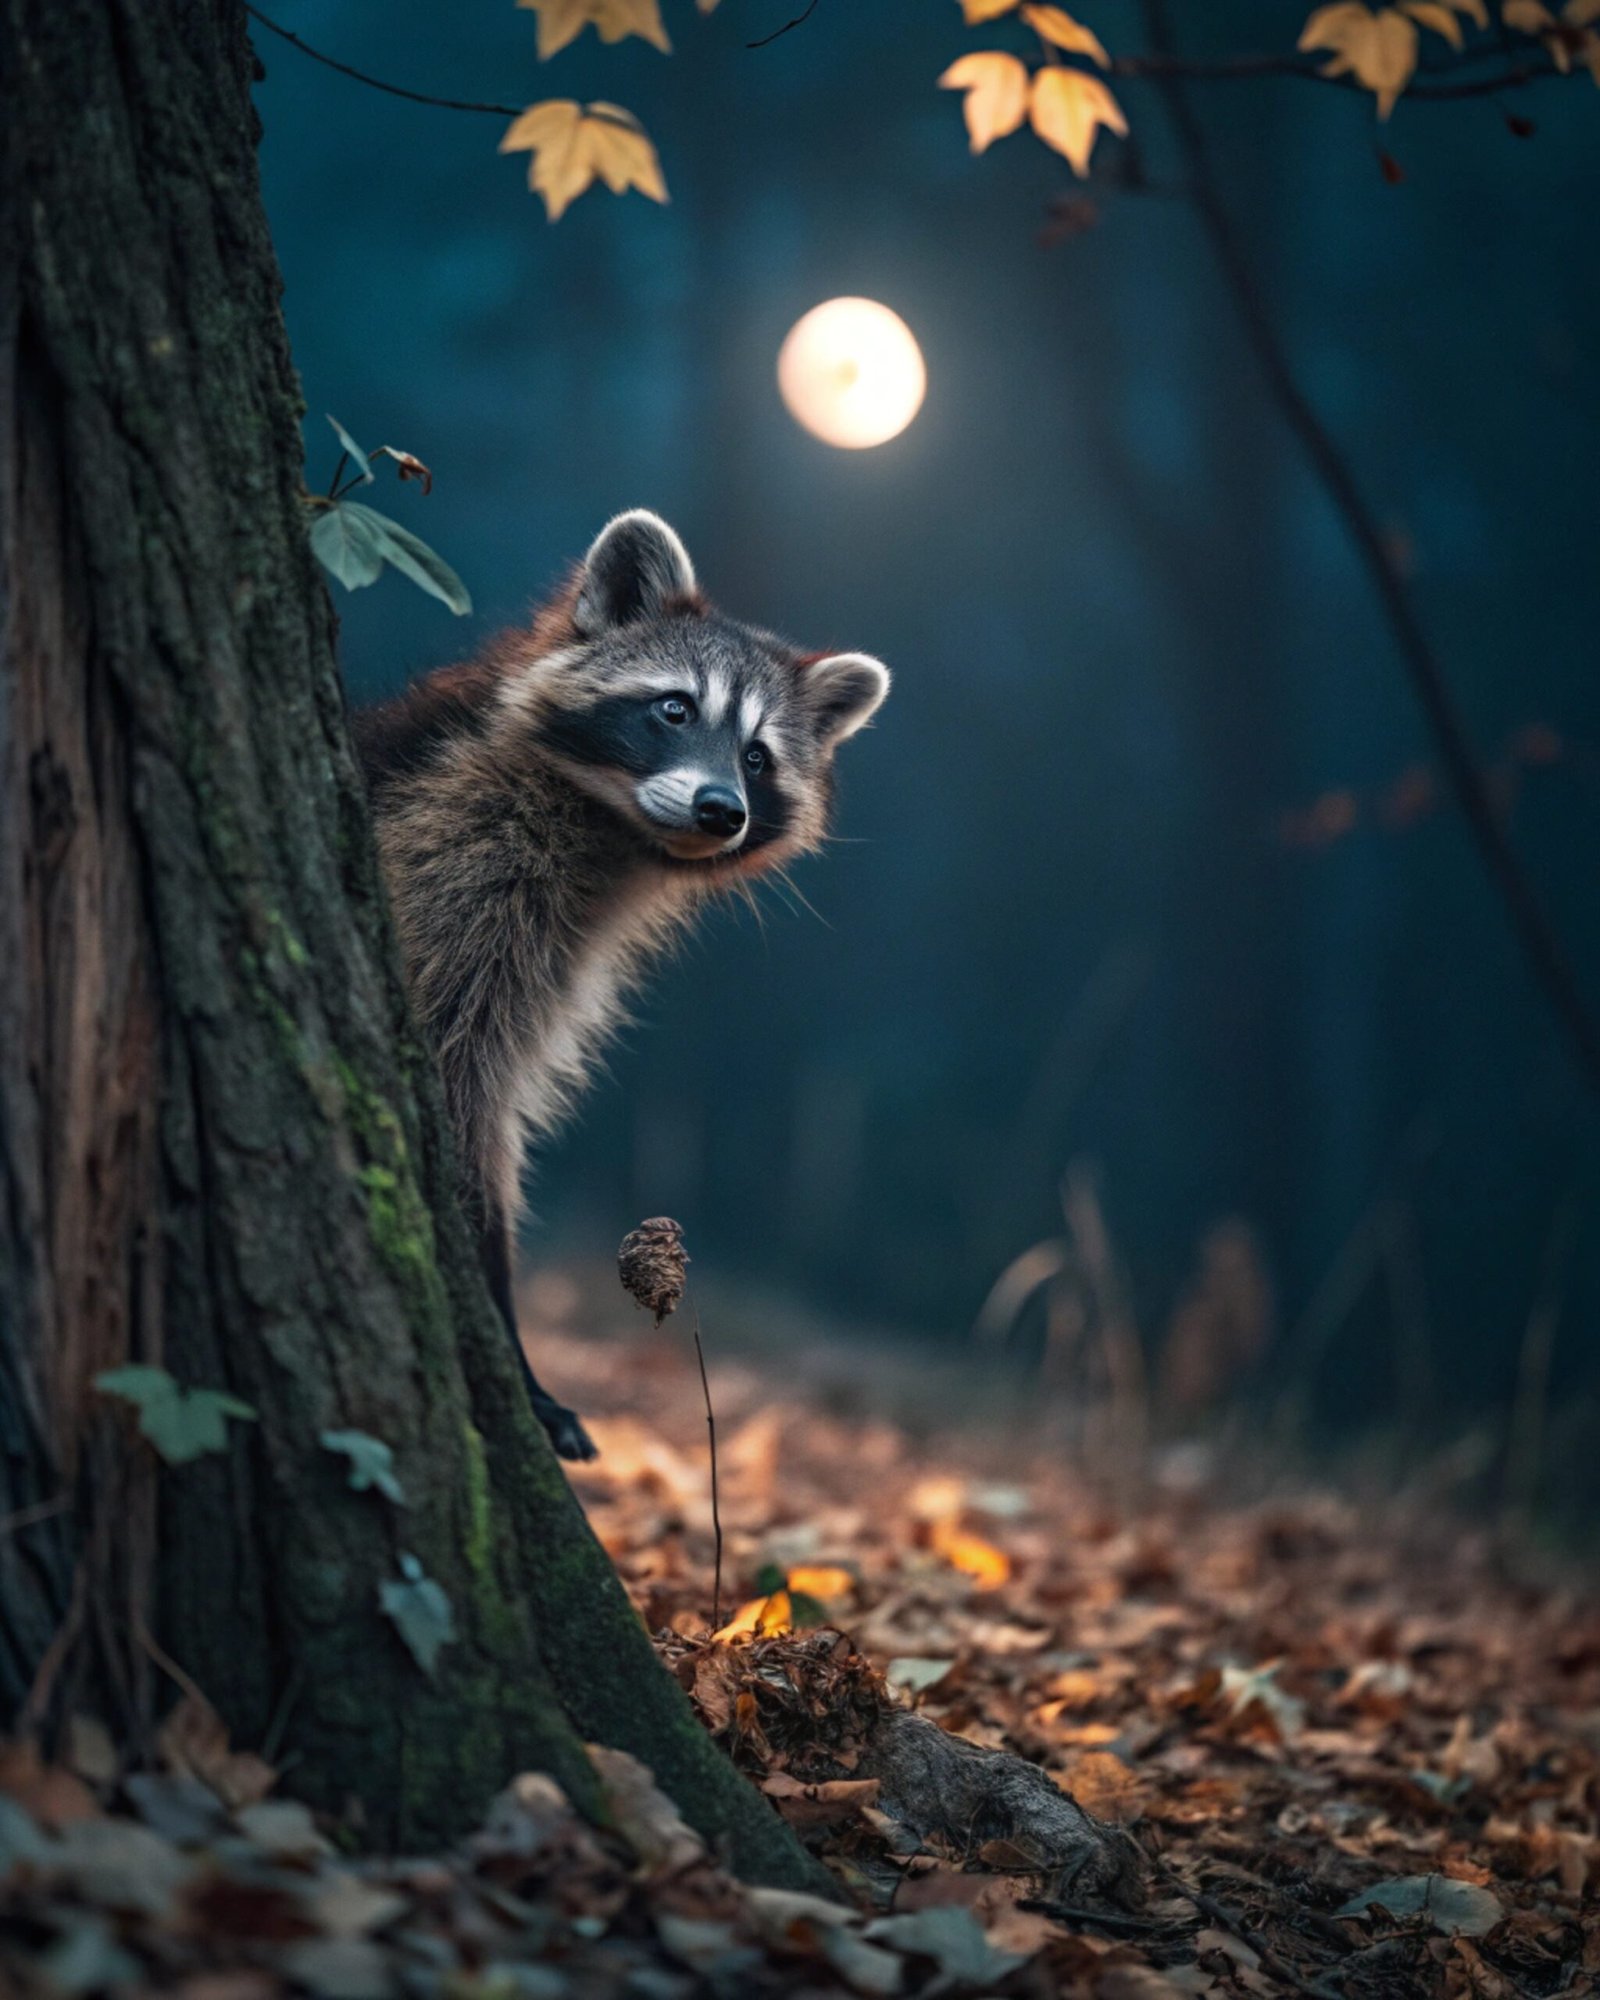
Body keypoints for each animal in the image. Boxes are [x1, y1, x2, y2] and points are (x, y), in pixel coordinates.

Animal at [353, 511, 889, 1459]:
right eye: (674, 708)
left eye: (758, 758)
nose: (722, 810)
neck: (609, 829)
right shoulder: (451, 879)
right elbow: (466, 1105)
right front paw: (508, 1335)